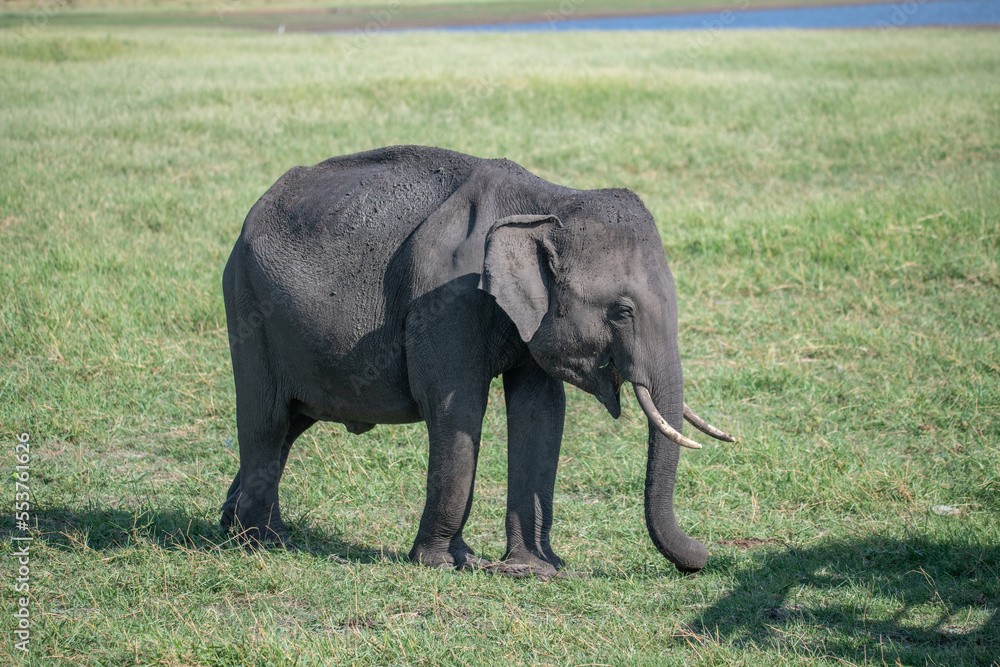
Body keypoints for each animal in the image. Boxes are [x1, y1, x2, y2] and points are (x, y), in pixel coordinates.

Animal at [220, 145, 734, 575]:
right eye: (622, 311)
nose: (704, 554)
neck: (547, 203)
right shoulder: (446, 300)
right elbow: (458, 408)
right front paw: (450, 564)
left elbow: (543, 413)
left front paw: (536, 569)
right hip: (247, 309)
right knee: (267, 422)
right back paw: (265, 542)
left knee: (291, 425)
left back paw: (231, 526)